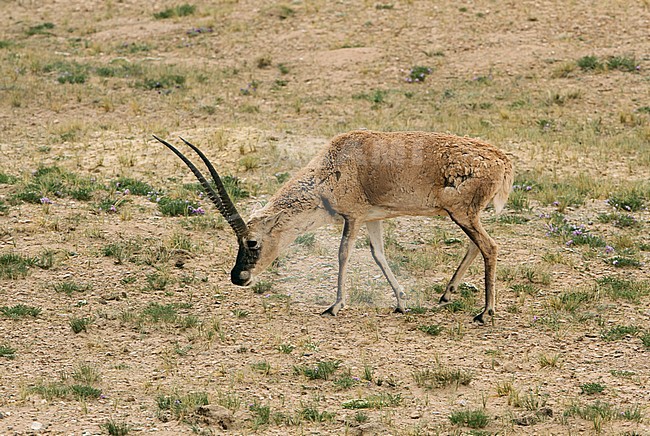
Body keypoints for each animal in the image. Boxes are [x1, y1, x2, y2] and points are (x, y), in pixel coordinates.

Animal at [154, 130, 513, 324]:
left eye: (251, 242)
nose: (238, 277)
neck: (331, 167)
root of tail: (502, 161)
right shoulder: (372, 219)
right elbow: (378, 255)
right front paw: (400, 301)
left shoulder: (352, 217)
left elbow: (343, 255)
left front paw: (335, 306)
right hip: (465, 216)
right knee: (476, 246)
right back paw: (447, 294)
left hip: (462, 214)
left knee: (490, 247)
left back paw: (485, 313)